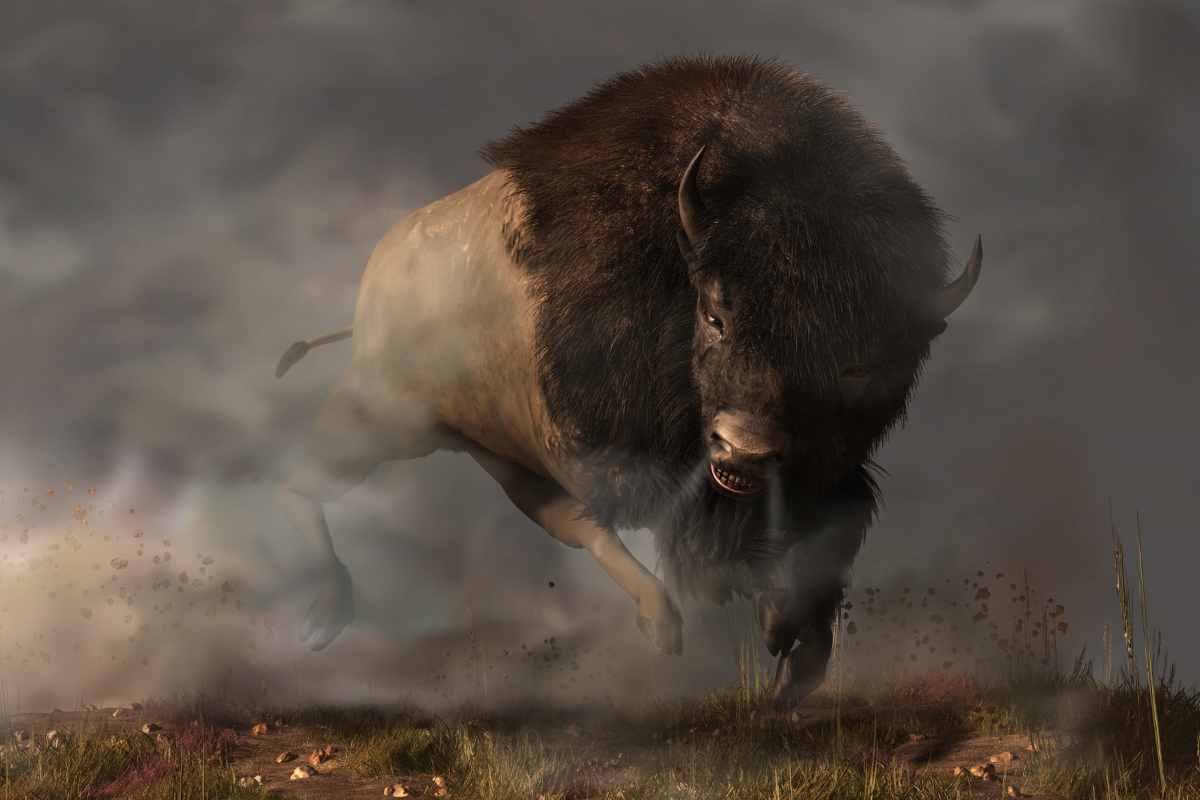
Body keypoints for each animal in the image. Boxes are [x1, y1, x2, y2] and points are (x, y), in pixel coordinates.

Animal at [276, 55, 981, 704]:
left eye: (856, 366)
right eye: (716, 313)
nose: (743, 448)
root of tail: (381, 260)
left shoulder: (819, 474)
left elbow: (832, 534)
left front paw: (790, 649)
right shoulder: (599, 449)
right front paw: (740, 632)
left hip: (489, 451)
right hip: (385, 416)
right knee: (309, 477)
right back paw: (324, 615)